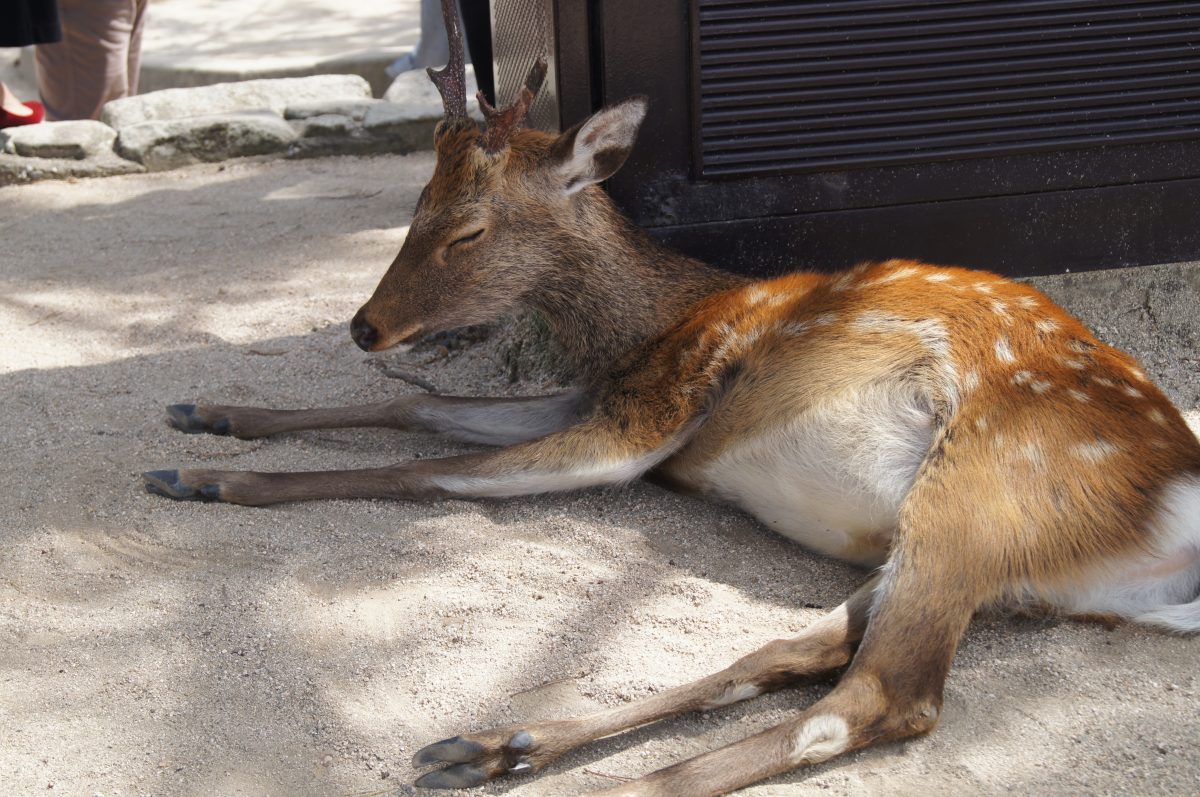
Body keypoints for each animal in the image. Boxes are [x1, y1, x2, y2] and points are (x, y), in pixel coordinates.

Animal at [142, 2, 1200, 794]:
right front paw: (208, 416)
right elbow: (420, 408)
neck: (652, 321)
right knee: (791, 651)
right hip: (963, 555)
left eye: (468, 229)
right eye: (413, 206)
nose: (364, 327)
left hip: (982, 490)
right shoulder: (596, 394)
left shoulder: (648, 412)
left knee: (874, 700)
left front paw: (210, 477)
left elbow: (441, 468)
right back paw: (497, 744)